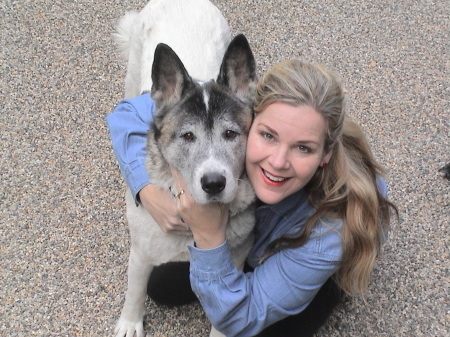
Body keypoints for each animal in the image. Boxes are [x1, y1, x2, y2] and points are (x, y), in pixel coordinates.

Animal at [112, 1, 256, 334]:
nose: (214, 183)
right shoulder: (141, 254)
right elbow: (134, 291)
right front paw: (130, 322)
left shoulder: (236, 262)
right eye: (188, 136)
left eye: (231, 134)